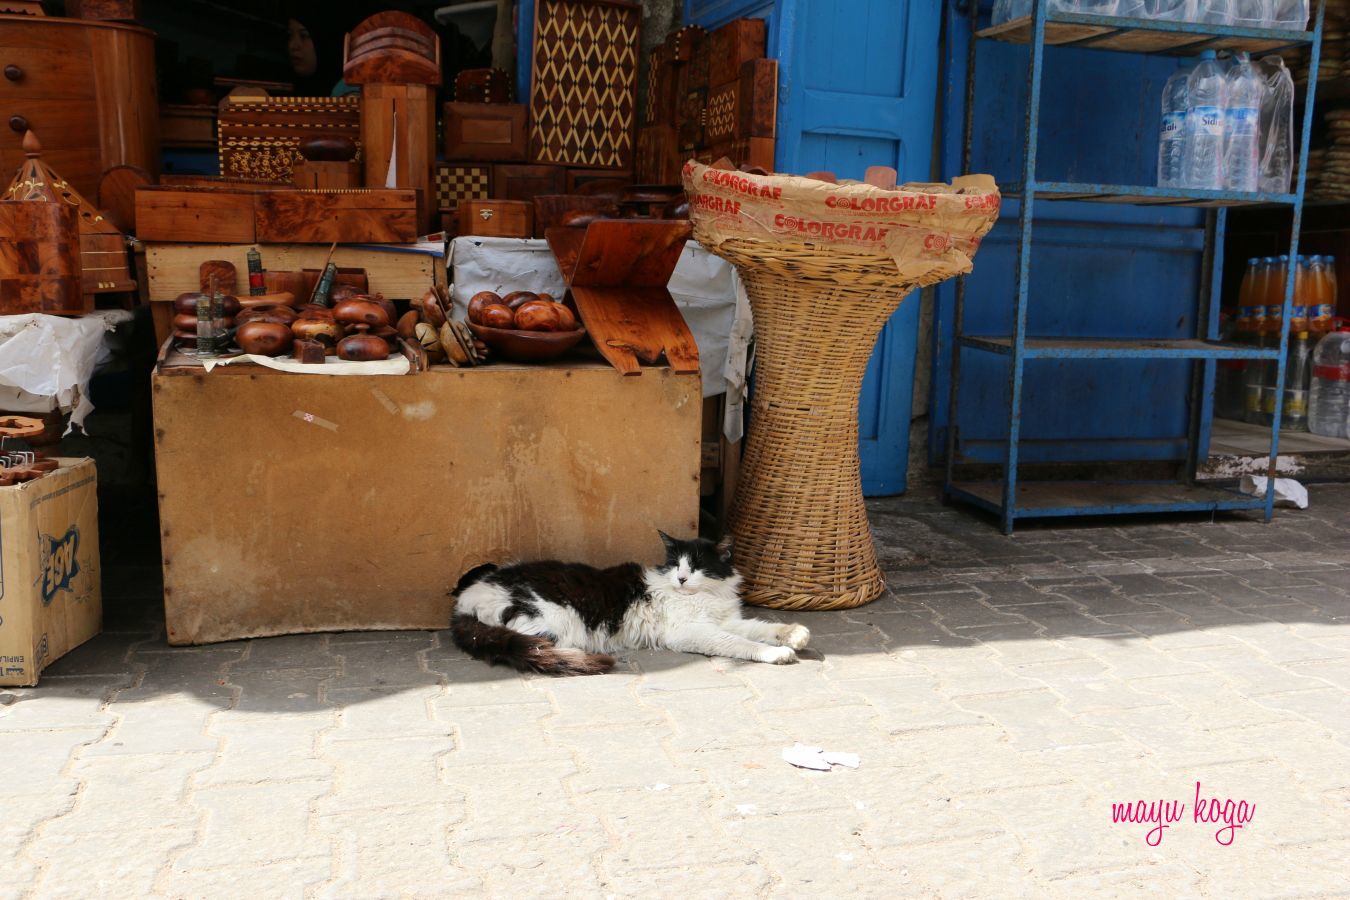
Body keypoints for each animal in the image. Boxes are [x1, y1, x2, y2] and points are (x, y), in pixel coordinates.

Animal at [450, 528, 810, 674]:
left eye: (695, 566)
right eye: (675, 564)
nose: (681, 578)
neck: (705, 596)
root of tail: (465, 599)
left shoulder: (724, 618)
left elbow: (758, 627)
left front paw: (793, 634)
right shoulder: (692, 631)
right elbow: (739, 643)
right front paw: (777, 653)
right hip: (557, 620)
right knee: (539, 646)